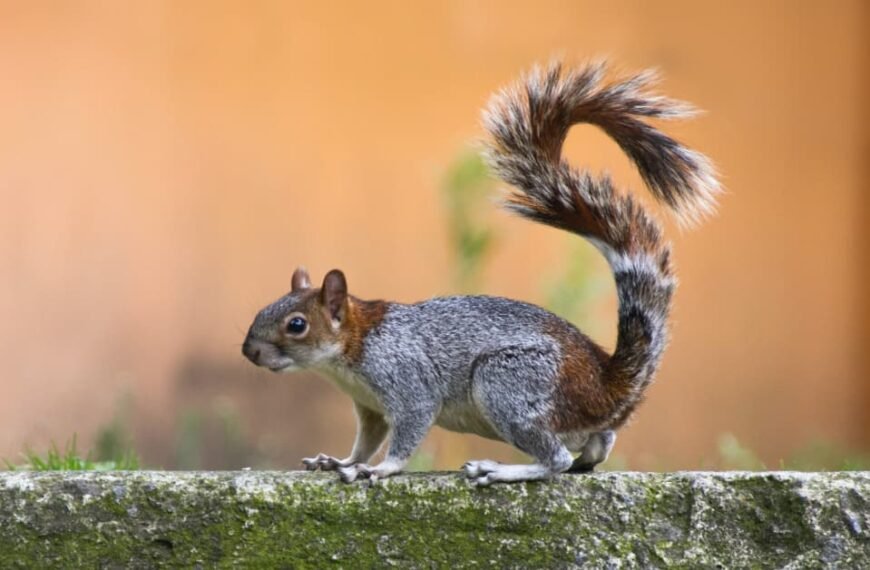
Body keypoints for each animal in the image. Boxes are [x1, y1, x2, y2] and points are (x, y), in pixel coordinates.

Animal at [240, 60, 724, 482]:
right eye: (266, 307)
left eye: (296, 324)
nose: (249, 352)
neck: (353, 347)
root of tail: (606, 388)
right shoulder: (370, 407)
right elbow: (364, 441)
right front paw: (339, 461)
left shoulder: (407, 383)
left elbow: (406, 433)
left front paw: (380, 469)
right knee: (595, 444)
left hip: (508, 383)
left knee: (556, 459)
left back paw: (503, 471)